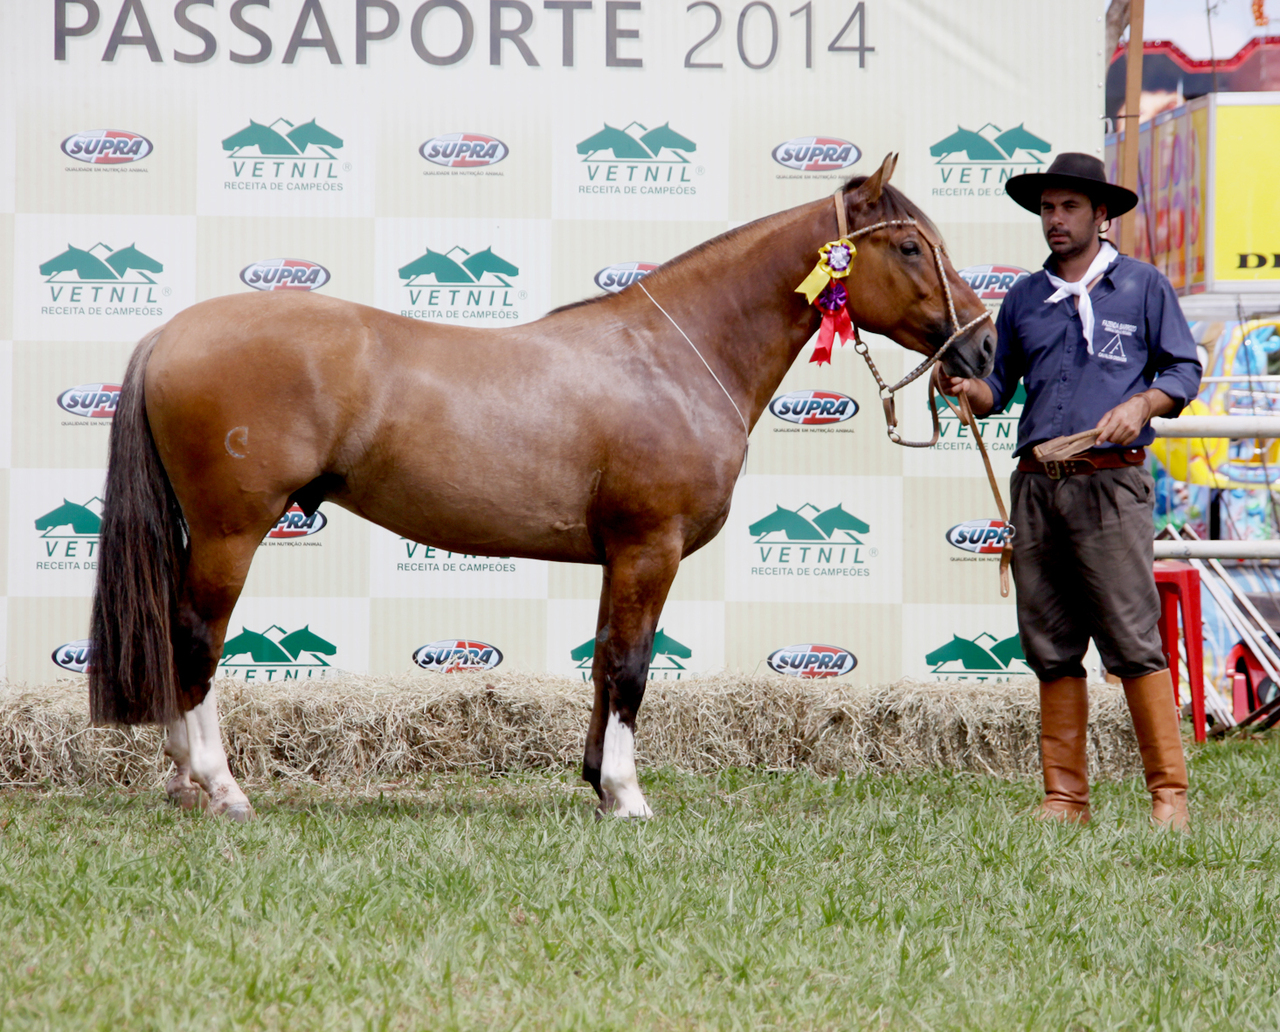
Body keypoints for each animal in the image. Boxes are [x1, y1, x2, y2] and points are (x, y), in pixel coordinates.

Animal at [90, 153, 993, 819]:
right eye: (910, 248)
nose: (981, 353)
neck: (673, 356)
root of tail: (170, 333)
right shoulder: (649, 548)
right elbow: (630, 667)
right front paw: (628, 796)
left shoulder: (618, 558)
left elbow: (602, 663)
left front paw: (598, 784)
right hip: (230, 532)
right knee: (196, 641)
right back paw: (220, 787)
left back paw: (183, 783)